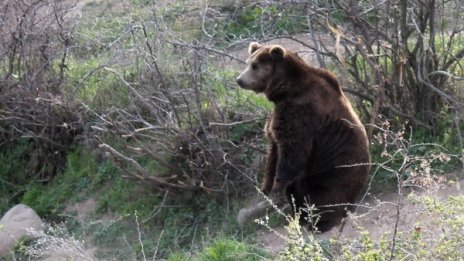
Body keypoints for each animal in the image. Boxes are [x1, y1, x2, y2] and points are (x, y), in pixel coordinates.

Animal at [236, 41, 370, 231]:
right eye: (248, 63)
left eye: (255, 66)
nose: (239, 80)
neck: (286, 90)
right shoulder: (280, 116)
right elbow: (274, 151)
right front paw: (266, 187)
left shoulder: (299, 113)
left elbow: (293, 151)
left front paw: (276, 187)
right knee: (296, 192)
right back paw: (300, 217)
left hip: (332, 176)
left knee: (323, 198)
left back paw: (320, 223)